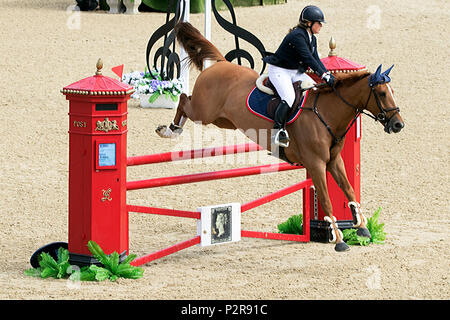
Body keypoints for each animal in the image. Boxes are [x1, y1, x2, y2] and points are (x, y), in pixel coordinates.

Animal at [156, 22, 404, 252]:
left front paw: (361, 227)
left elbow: (349, 189)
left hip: (222, 120)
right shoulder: (316, 164)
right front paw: (338, 238)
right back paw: (169, 130)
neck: (326, 112)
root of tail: (221, 63)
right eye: (382, 93)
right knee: (183, 99)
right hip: (204, 113)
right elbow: (325, 199)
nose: (398, 124)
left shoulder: (334, 161)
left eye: (392, 92)